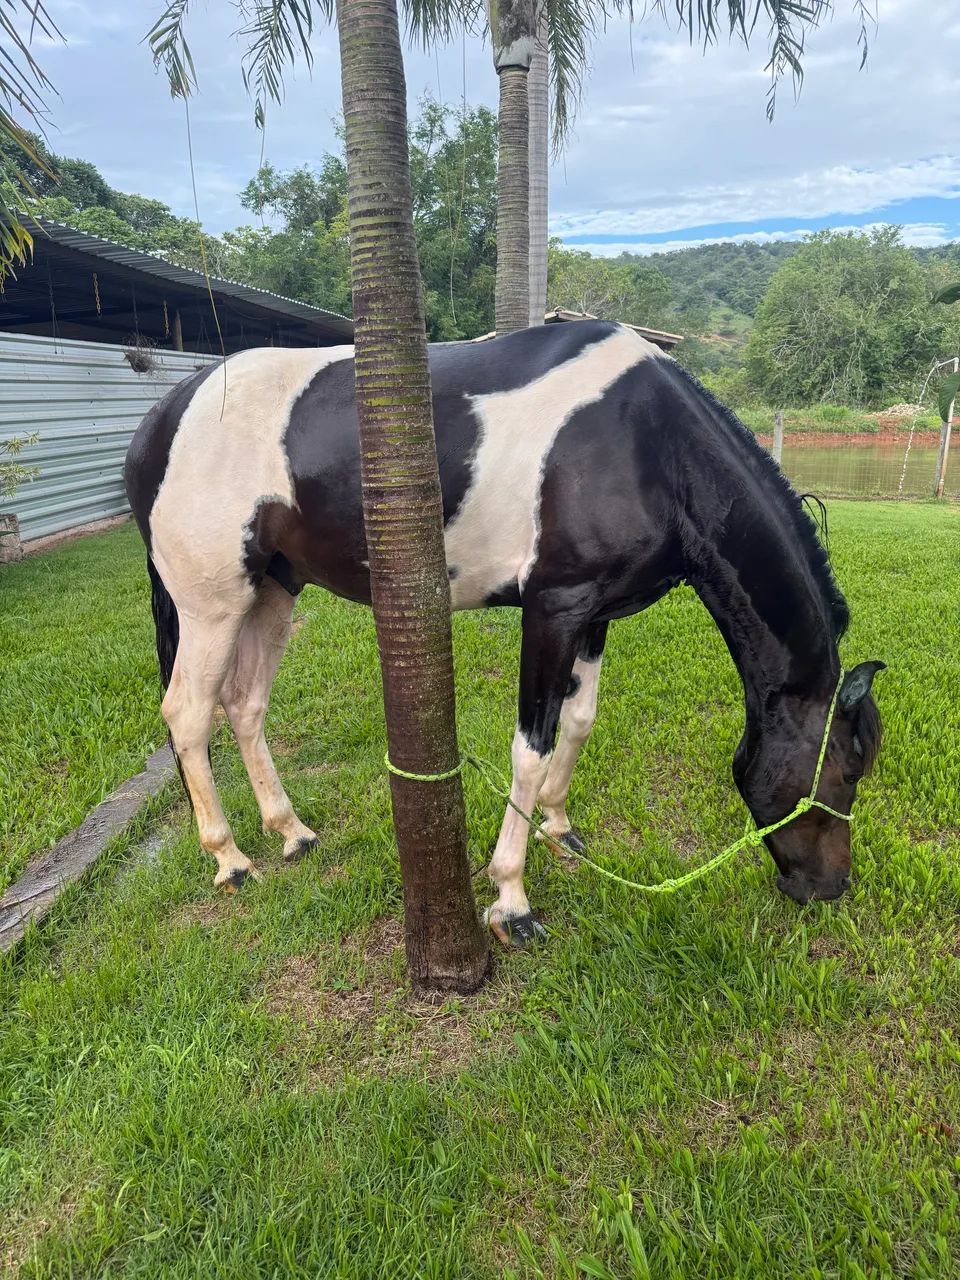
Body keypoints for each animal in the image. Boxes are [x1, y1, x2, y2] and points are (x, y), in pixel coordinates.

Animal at [124, 320, 883, 946]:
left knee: (245, 706)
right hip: (213, 607)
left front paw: (560, 827)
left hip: (273, 593)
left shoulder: (594, 616)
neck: (651, 446)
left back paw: (290, 832)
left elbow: (578, 722)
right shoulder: (553, 609)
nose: (827, 888)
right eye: (846, 770)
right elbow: (531, 749)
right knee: (189, 714)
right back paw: (229, 858)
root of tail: (164, 417)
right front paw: (511, 899)